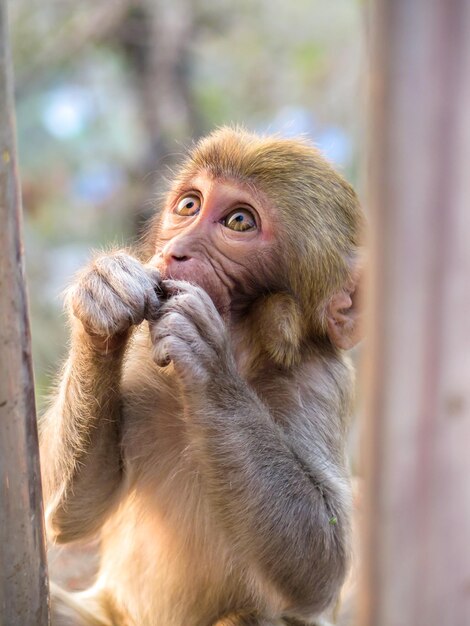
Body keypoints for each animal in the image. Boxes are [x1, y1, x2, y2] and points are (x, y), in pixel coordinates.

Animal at [39, 127, 364, 624]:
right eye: (189, 205)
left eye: (239, 222)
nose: (176, 251)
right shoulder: (141, 357)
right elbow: (72, 510)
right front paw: (102, 295)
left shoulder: (323, 381)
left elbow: (321, 571)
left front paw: (205, 357)